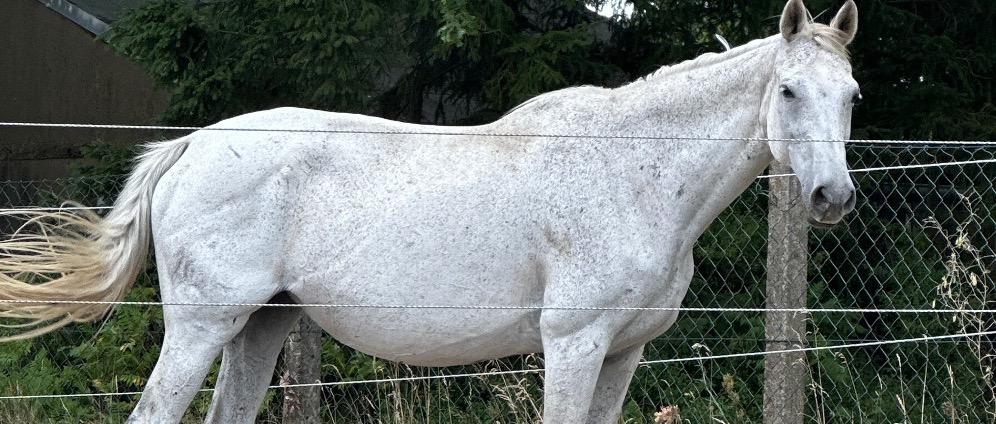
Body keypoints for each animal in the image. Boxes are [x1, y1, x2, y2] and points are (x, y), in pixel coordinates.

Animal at [0, 0, 859, 422]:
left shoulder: (623, 354)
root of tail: (188, 146)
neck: (631, 172)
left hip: (261, 327)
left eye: (850, 94)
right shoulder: (573, 345)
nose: (832, 198)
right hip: (204, 326)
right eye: (788, 91)